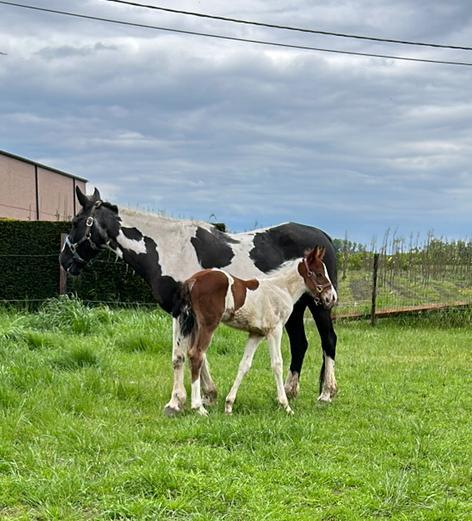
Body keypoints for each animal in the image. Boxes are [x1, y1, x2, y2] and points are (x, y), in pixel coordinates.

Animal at [164, 247, 338, 414]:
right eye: (319, 273)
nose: (332, 298)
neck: (281, 289)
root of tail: (192, 281)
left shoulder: (256, 334)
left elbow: (244, 365)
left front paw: (229, 405)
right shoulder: (274, 330)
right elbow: (277, 364)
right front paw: (285, 406)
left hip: (185, 322)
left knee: (179, 356)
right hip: (207, 325)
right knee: (196, 355)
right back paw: (198, 407)